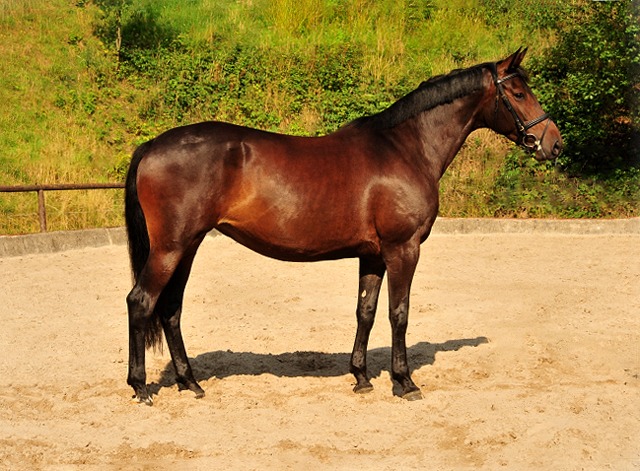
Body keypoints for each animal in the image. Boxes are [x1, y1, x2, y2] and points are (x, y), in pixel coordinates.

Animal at [124, 49, 560, 408]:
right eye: (518, 93)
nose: (553, 143)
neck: (406, 147)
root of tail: (153, 145)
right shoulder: (403, 249)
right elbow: (399, 313)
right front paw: (404, 382)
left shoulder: (373, 255)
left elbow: (365, 311)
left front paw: (361, 377)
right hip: (170, 248)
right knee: (141, 302)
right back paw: (141, 386)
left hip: (188, 246)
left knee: (171, 308)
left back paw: (190, 383)